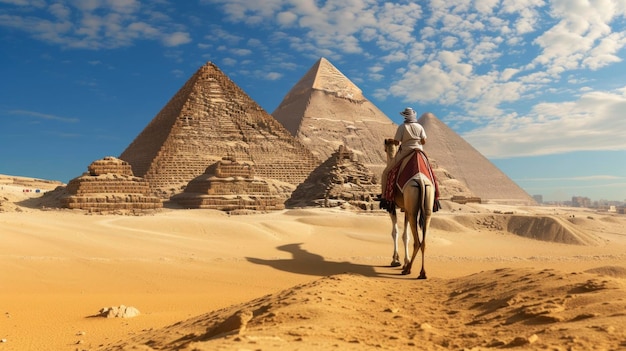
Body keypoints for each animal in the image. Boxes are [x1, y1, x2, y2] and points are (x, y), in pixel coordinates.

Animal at [380, 139, 434, 280]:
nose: (385, 149)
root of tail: (421, 181)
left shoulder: (391, 206)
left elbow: (395, 232)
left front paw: (396, 260)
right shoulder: (405, 208)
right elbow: (405, 235)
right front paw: (404, 261)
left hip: (412, 204)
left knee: (417, 241)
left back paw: (408, 269)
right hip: (425, 207)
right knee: (423, 241)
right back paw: (421, 272)